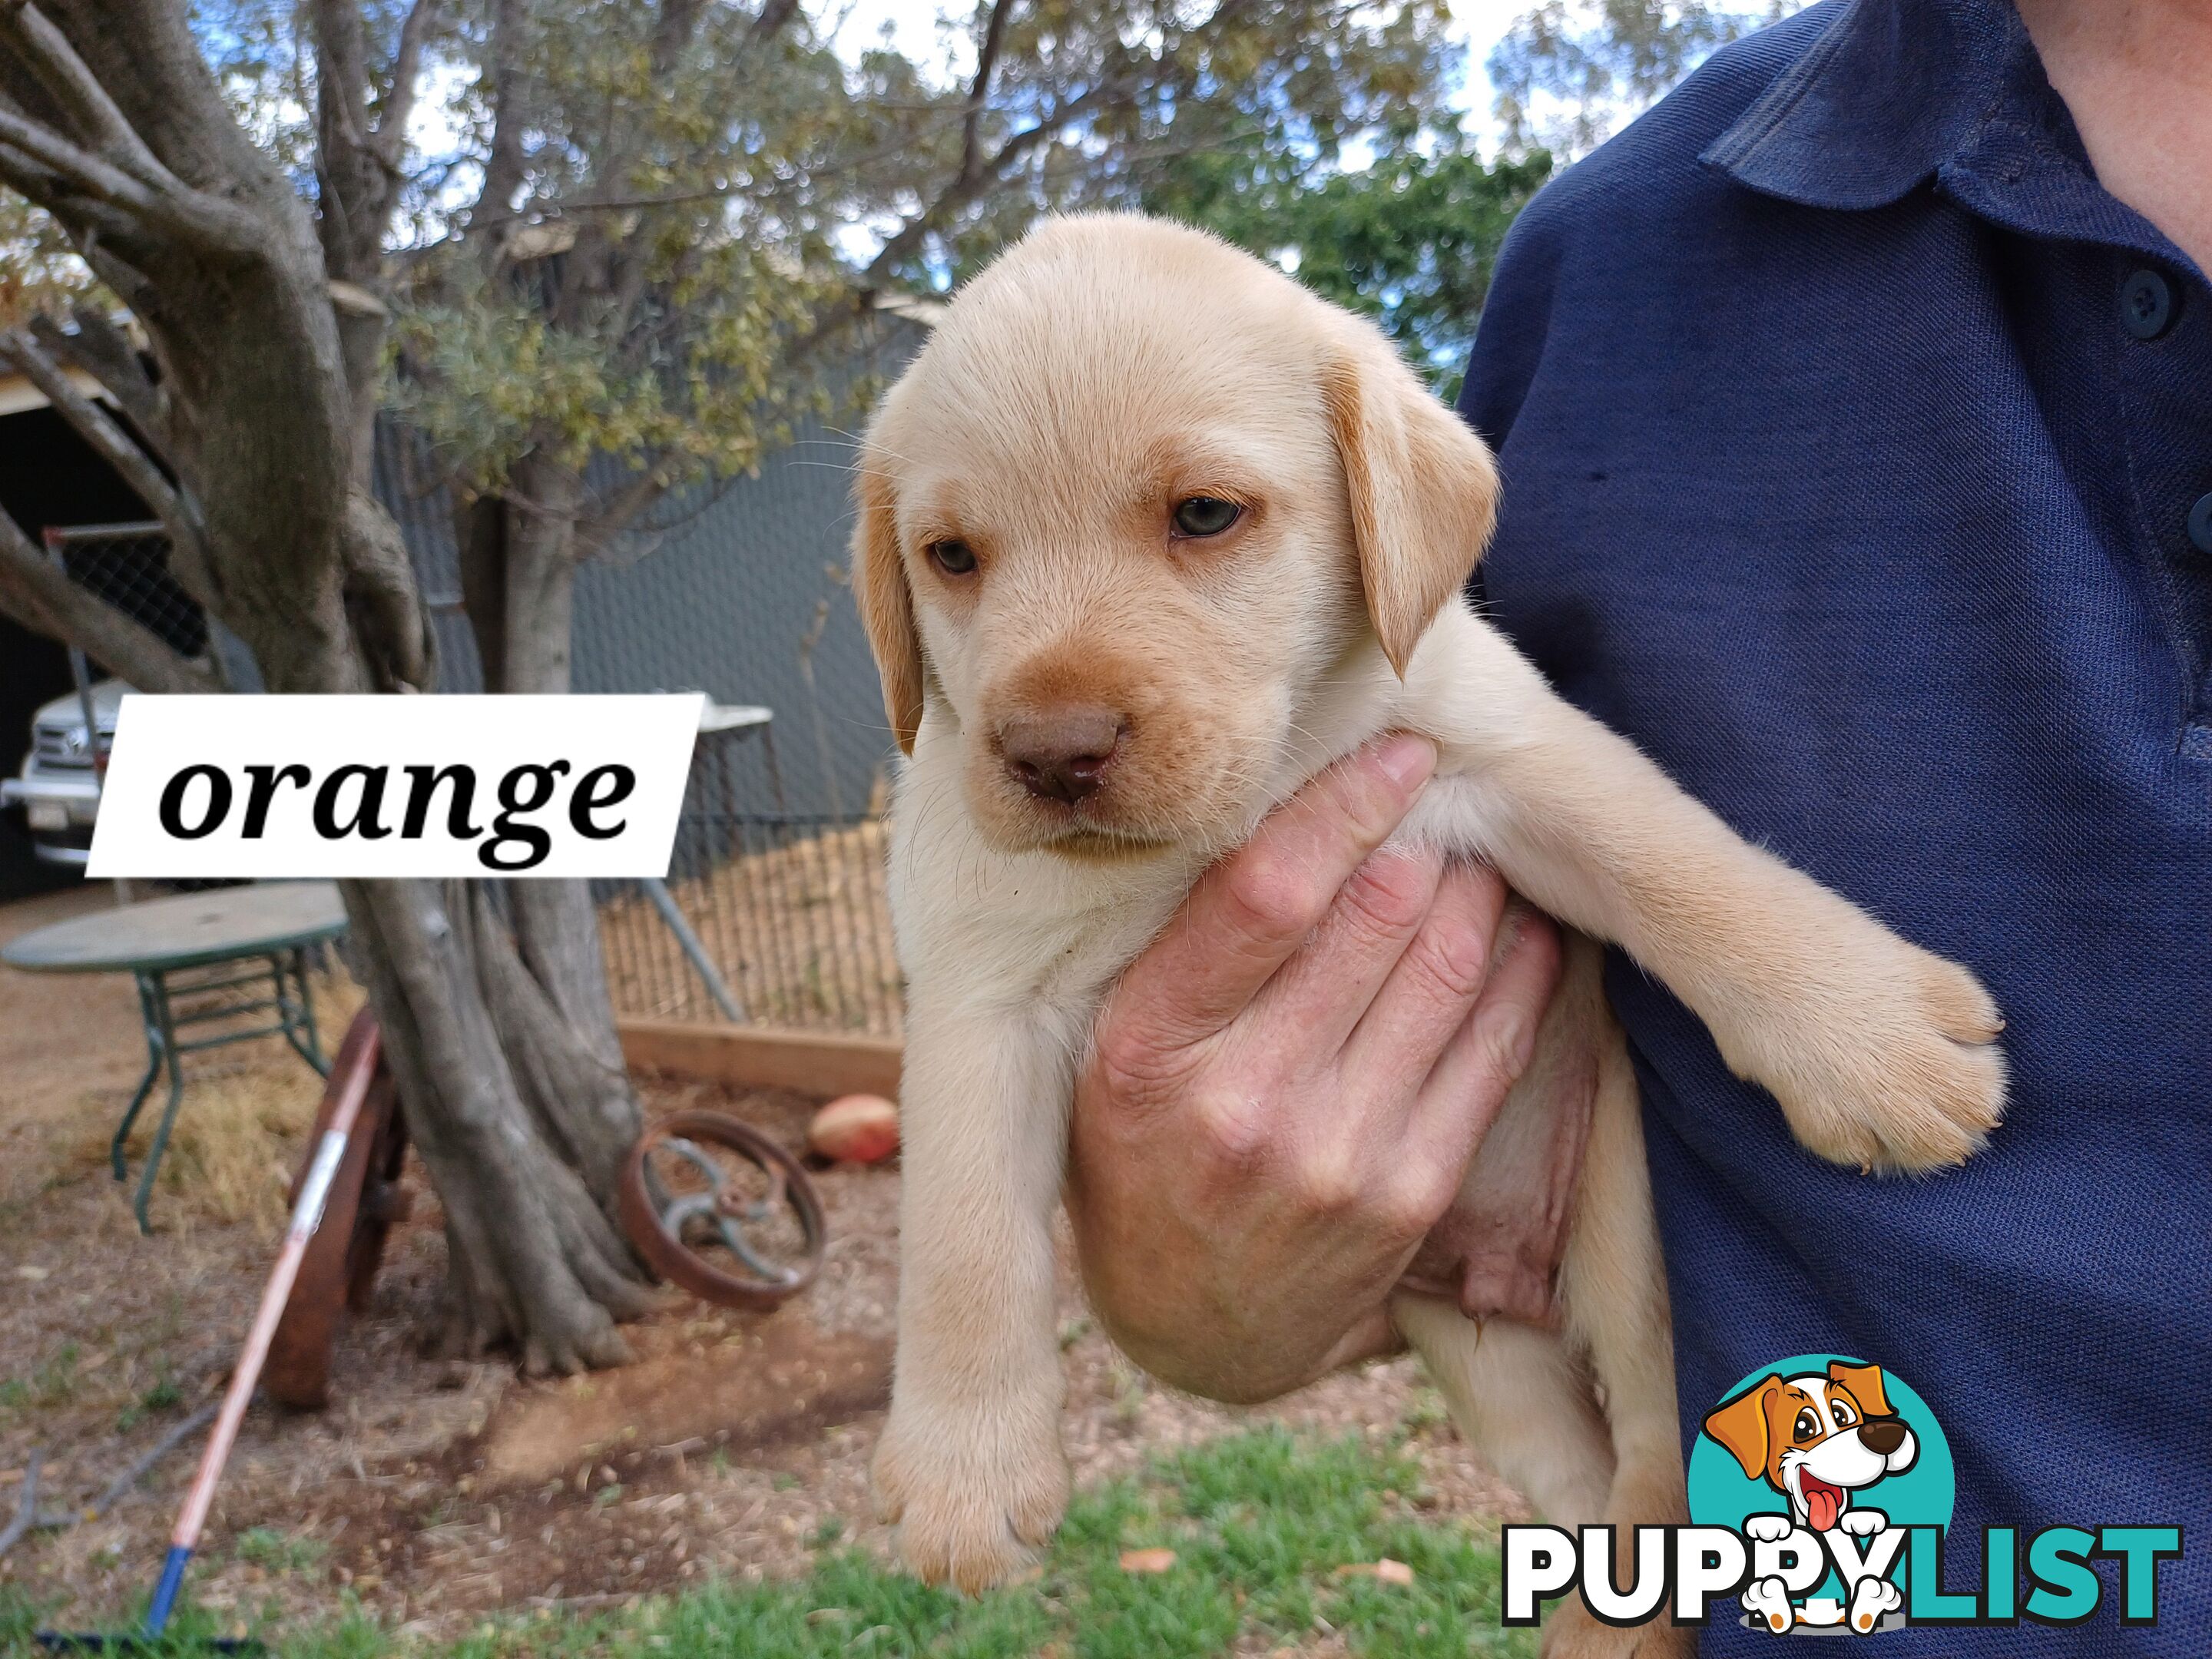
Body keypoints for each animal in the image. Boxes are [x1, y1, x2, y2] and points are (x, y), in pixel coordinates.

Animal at [849, 214, 2008, 1654]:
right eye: (952, 557)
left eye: (1205, 515)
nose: (1051, 754)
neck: (1240, 805)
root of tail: (1508, 1279)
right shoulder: (977, 990)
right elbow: (960, 1241)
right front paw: (964, 1475)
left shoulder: (1507, 754)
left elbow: (1688, 872)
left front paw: (1874, 1039)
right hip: (1483, 1359)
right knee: (1583, 1495)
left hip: (1625, 1234)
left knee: (1652, 1452)